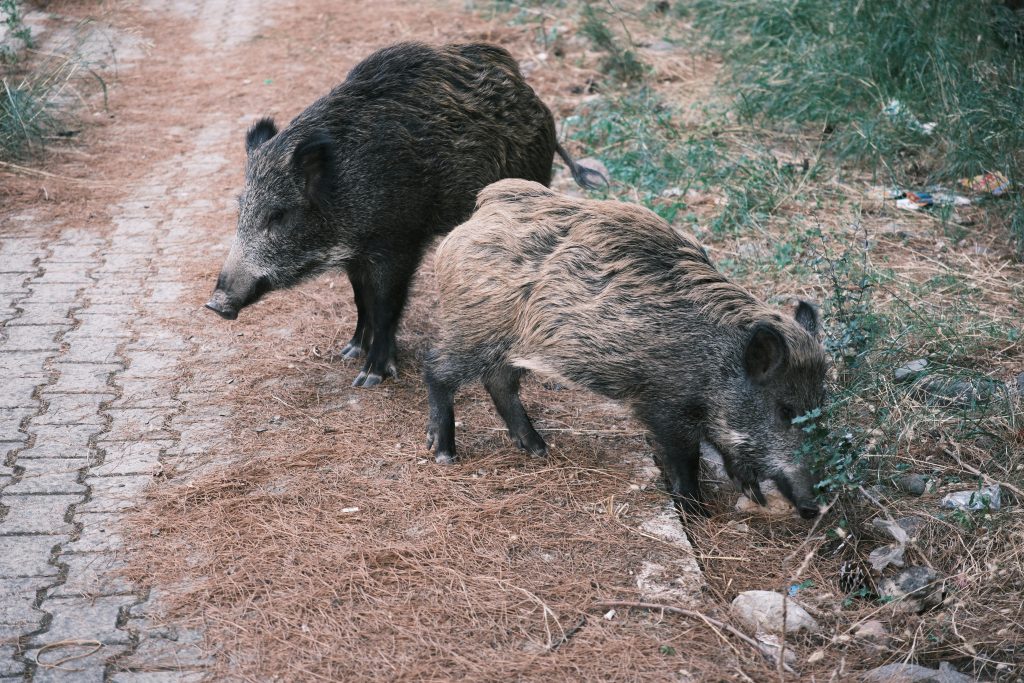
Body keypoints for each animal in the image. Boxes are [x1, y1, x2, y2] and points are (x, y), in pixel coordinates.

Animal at [205, 42, 604, 387]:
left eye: (278, 215)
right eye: (242, 207)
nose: (215, 304)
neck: (348, 187)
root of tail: (537, 102)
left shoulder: (397, 241)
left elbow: (385, 305)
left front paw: (370, 377)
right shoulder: (356, 252)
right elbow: (360, 298)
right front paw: (350, 350)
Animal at [424, 179, 829, 519]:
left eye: (821, 405)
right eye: (786, 410)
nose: (815, 507)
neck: (716, 362)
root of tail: (482, 209)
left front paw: (752, 494)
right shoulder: (663, 404)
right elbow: (685, 458)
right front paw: (696, 511)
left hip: (508, 343)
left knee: (499, 383)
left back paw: (539, 448)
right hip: (471, 328)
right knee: (437, 369)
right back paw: (444, 453)